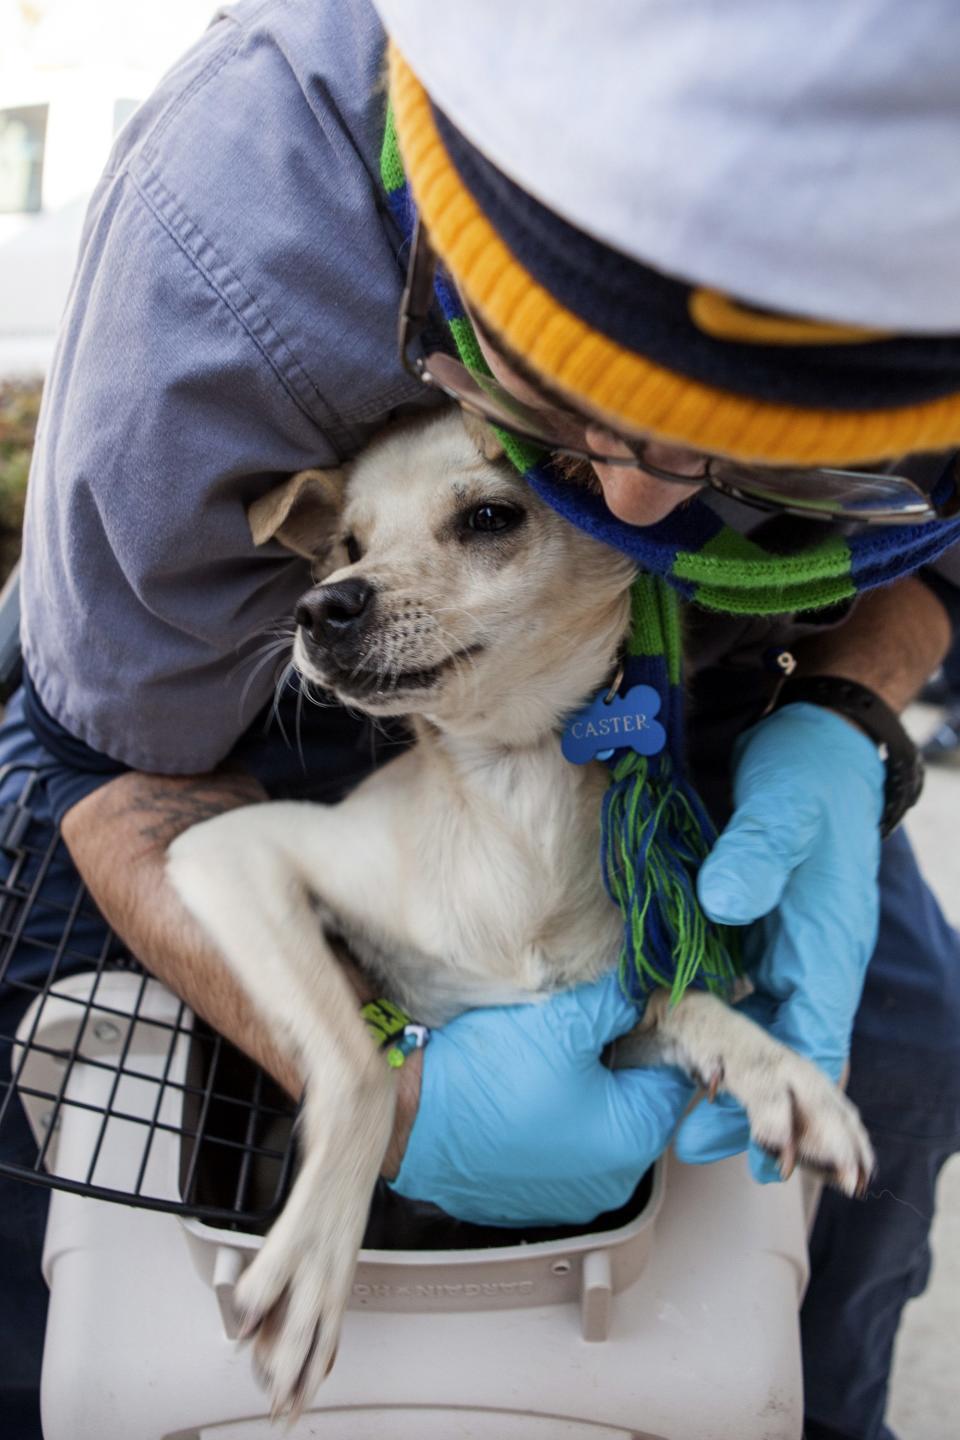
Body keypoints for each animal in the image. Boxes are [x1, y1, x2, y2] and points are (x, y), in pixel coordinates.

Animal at [169, 408, 875, 1416]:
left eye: (491, 518)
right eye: (347, 545)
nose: (320, 608)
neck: (509, 791)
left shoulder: (599, 1021)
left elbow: (684, 1003)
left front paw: (785, 1075)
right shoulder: (228, 851)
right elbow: (364, 1063)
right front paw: (310, 1264)